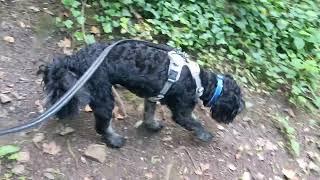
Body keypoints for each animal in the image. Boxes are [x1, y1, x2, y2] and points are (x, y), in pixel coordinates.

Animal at [40, 40, 245, 148]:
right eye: (236, 103)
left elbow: (148, 114)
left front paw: (151, 125)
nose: (242, 108)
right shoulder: (182, 112)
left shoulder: (152, 97)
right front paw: (205, 135)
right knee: (102, 125)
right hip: (104, 97)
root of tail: (76, 58)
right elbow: (196, 123)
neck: (200, 81)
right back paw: (114, 140)